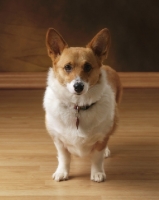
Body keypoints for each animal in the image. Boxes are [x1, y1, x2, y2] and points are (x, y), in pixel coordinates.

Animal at [43, 27, 121, 182]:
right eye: (67, 67)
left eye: (88, 67)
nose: (78, 86)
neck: (78, 106)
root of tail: (107, 66)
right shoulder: (58, 139)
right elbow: (64, 158)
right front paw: (62, 172)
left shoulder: (102, 137)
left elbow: (97, 157)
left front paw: (97, 173)